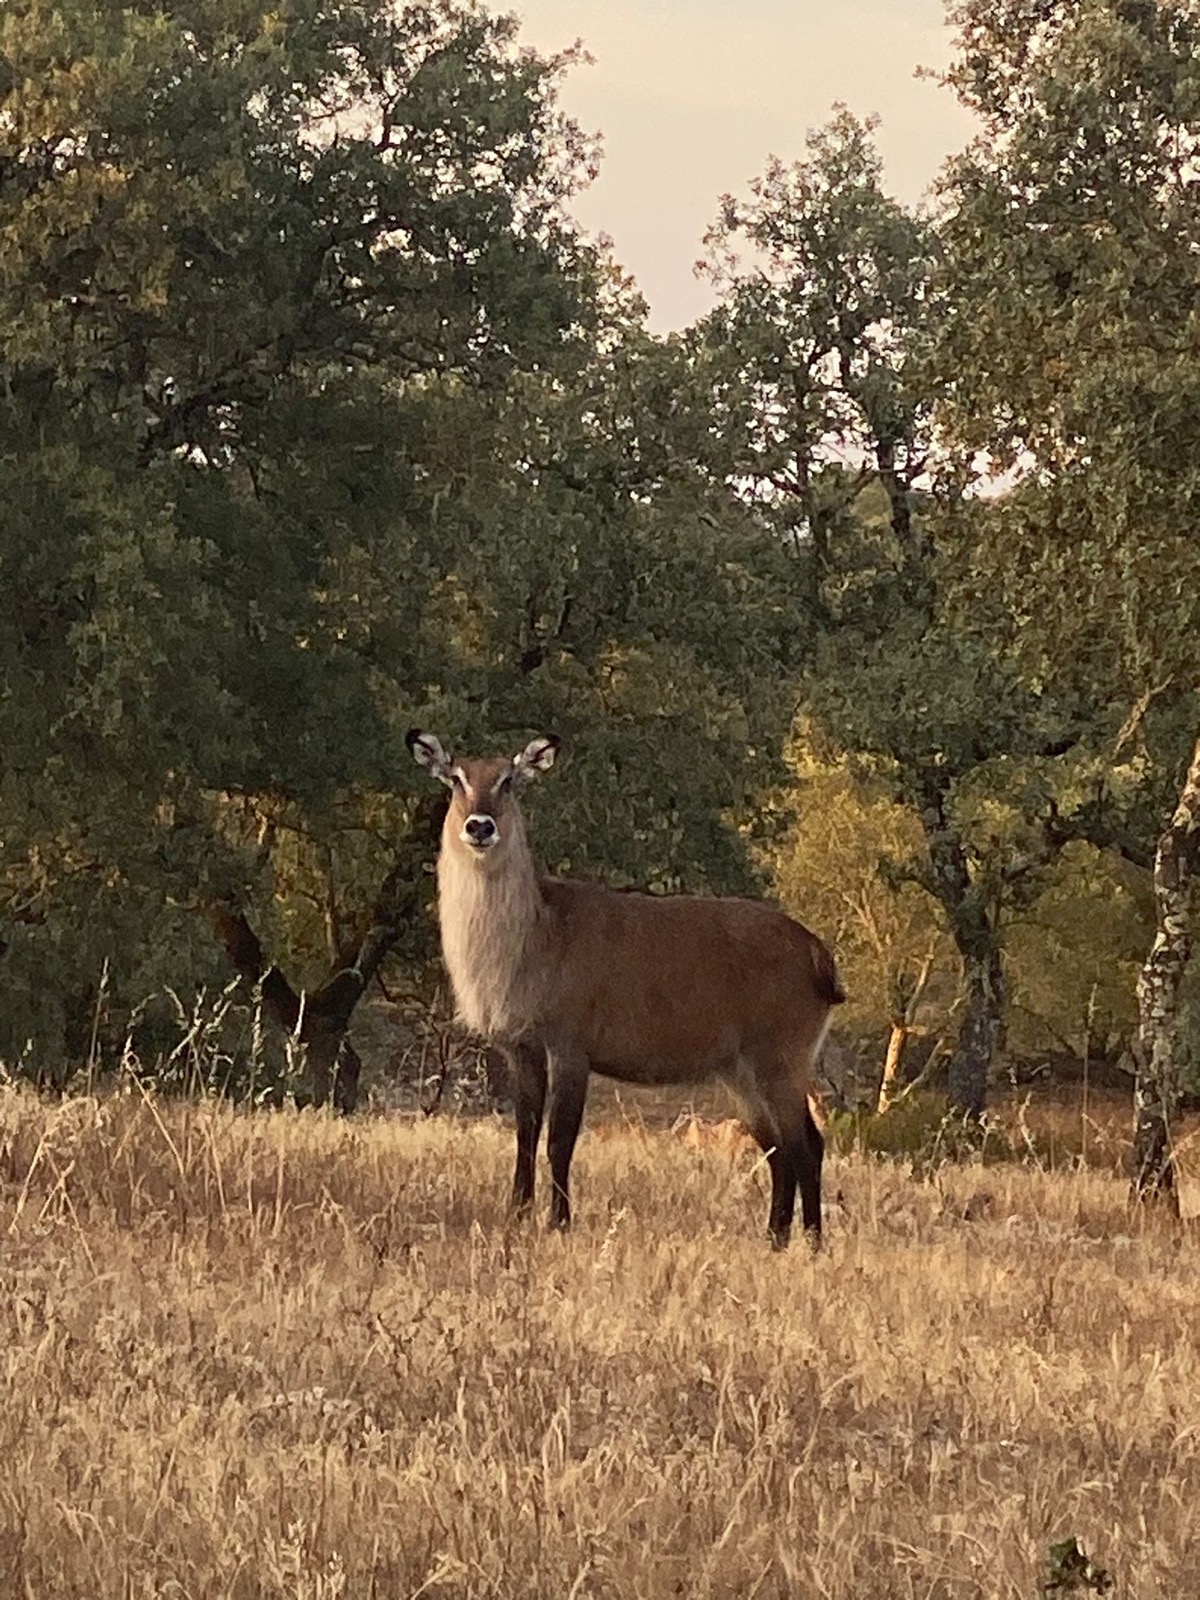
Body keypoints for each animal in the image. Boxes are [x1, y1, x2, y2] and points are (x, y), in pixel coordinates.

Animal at [407, 730, 844, 1247]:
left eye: (508, 780)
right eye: (456, 779)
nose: (479, 826)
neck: (534, 935)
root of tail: (818, 952)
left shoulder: (570, 1047)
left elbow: (560, 1141)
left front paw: (559, 1223)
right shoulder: (521, 1048)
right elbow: (525, 1134)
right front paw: (517, 1215)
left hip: (779, 1062)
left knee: (806, 1146)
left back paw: (811, 1243)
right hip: (741, 1072)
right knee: (780, 1150)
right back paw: (775, 1240)